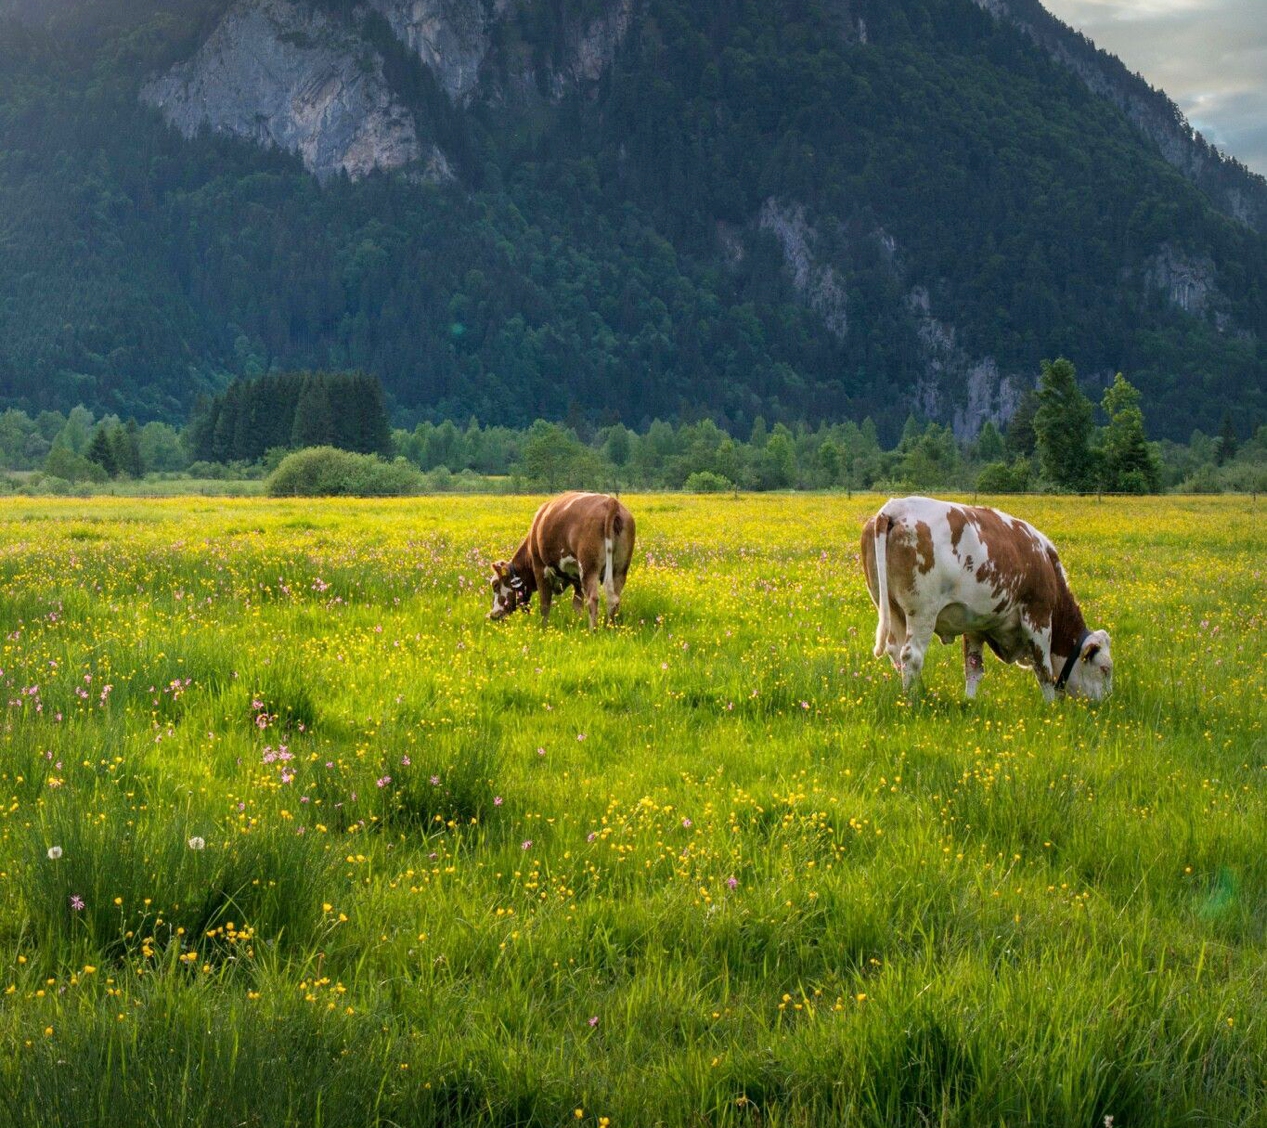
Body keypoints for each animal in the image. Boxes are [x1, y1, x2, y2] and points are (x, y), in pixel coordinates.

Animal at [489, 489, 638, 628]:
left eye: (495, 585)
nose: (492, 615)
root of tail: (611, 502)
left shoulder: (540, 568)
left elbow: (545, 604)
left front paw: (543, 628)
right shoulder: (577, 580)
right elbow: (577, 604)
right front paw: (578, 624)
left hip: (588, 568)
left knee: (593, 598)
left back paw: (593, 630)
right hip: (620, 570)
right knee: (614, 599)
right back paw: (610, 627)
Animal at [861, 496, 1109, 699]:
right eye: (1105, 669)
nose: (1104, 704)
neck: (1043, 560)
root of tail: (895, 507)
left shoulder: (974, 626)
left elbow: (973, 669)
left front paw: (970, 702)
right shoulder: (1038, 618)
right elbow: (1044, 670)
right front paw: (1051, 707)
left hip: (891, 608)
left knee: (896, 651)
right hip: (922, 612)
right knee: (911, 656)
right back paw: (914, 699)